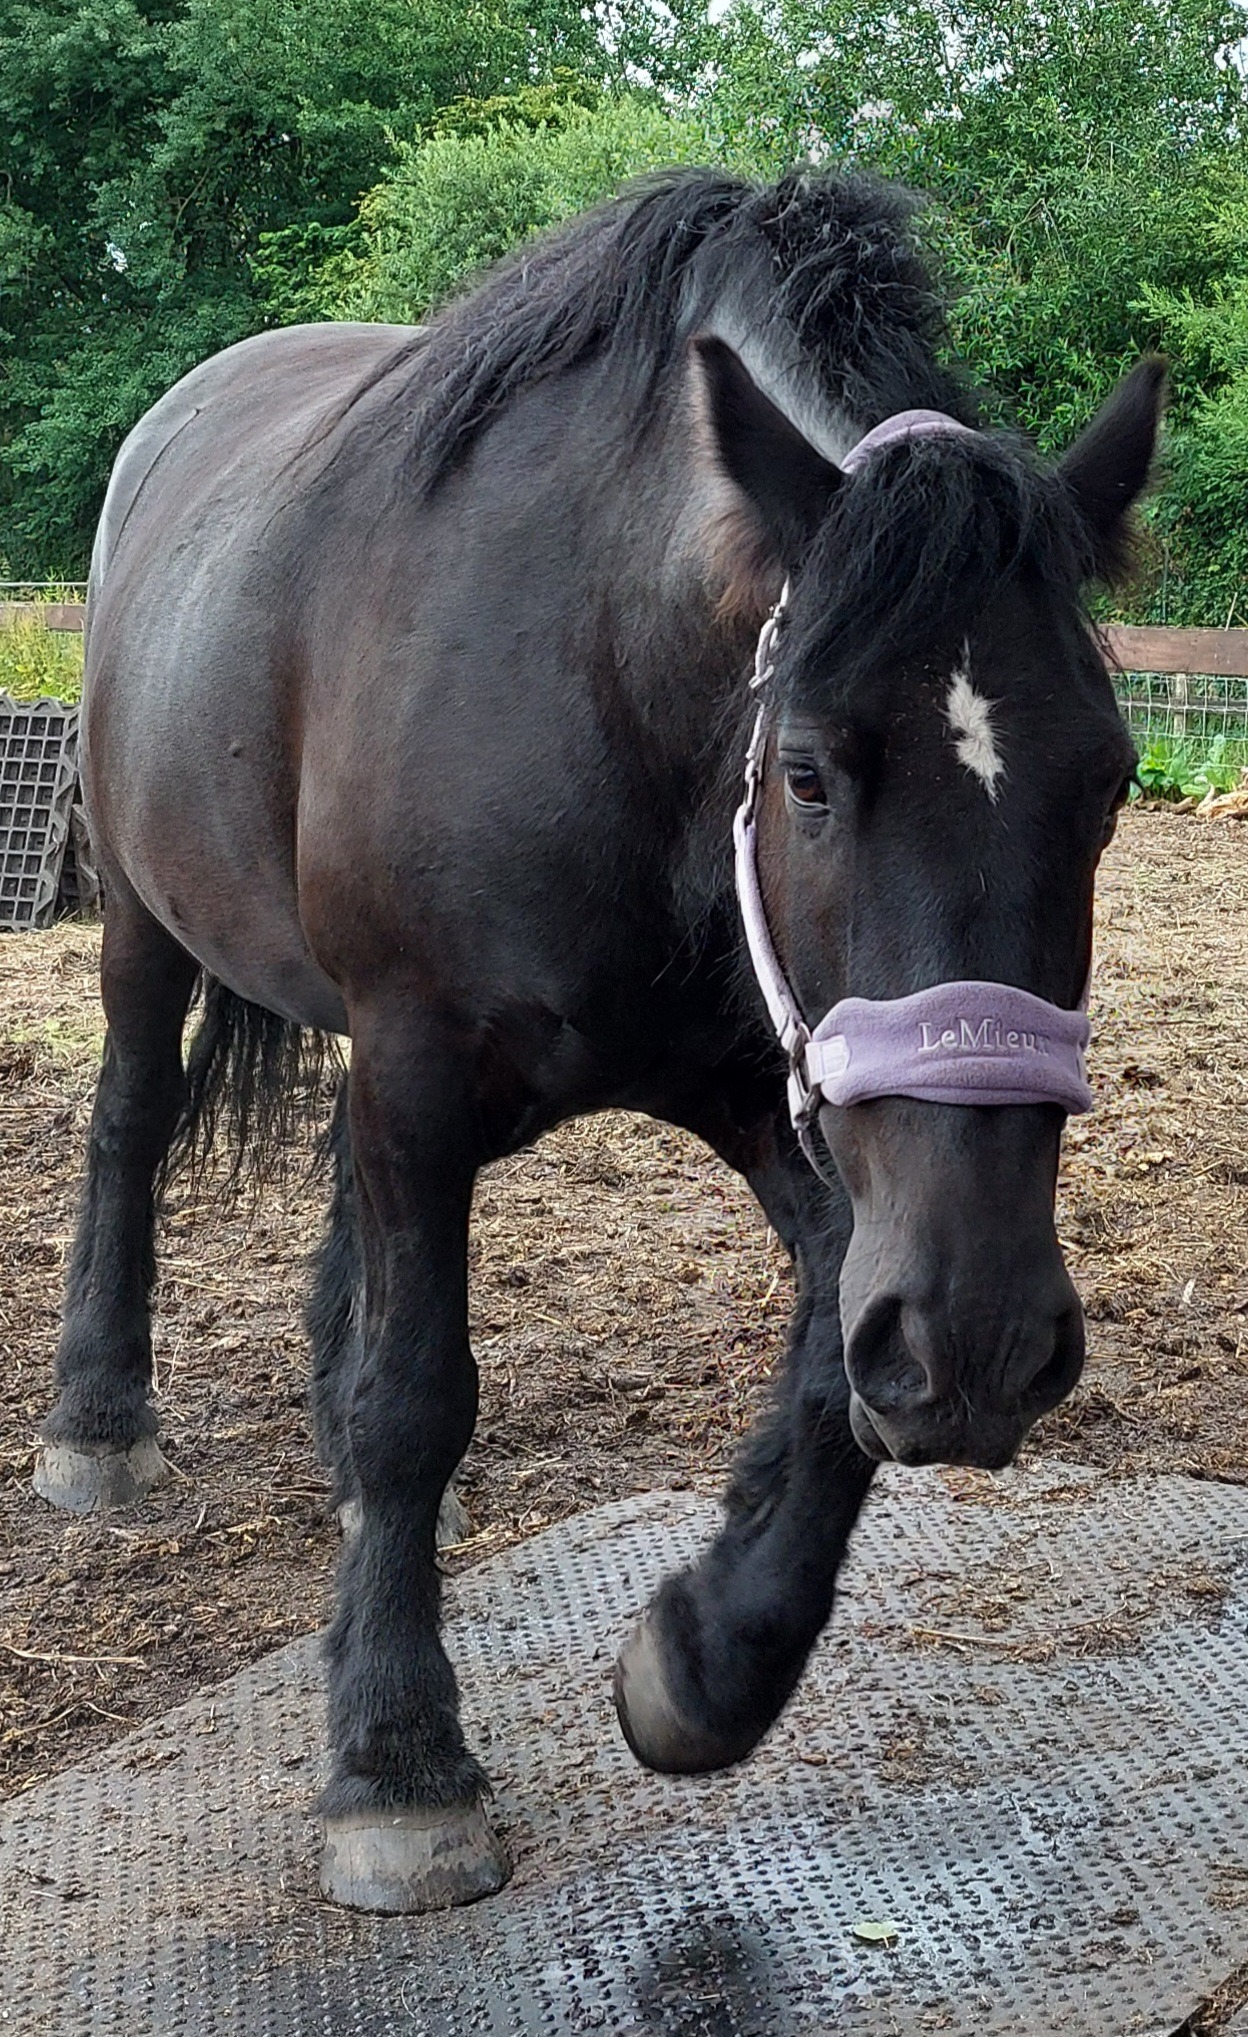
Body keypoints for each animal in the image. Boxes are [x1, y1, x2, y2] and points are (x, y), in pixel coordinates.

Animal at [34, 167, 1161, 1913]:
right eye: (810, 770)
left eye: (1108, 781)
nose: (984, 1346)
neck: (597, 678)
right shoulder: (425, 1061)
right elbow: (420, 1395)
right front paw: (396, 1759)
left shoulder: (779, 1095)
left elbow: (828, 1357)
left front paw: (705, 1660)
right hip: (155, 933)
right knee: (131, 1128)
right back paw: (100, 1420)